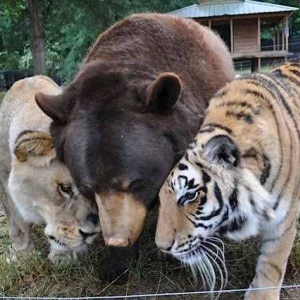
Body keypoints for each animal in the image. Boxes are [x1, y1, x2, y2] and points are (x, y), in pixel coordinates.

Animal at [0, 76, 101, 262]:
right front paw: (24, 255)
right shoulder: (3, 181)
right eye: (64, 188)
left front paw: (62, 256)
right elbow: (17, 225)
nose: (91, 233)